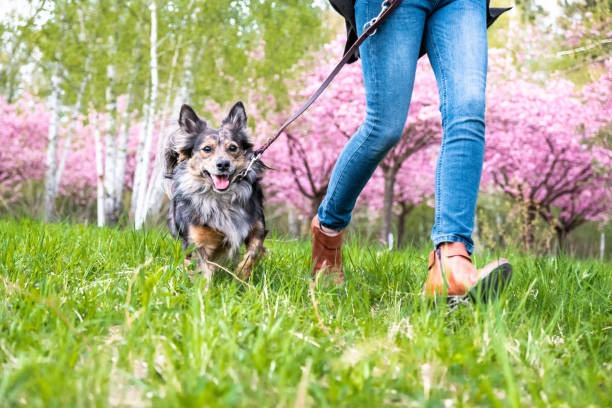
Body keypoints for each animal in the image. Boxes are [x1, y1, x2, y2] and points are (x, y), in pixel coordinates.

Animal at [164, 101, 266, 280]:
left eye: (233, 148)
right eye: (207, 149)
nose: (223, 164)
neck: (221, 198)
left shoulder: (257, 227)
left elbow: (253, 253)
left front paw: (241, 276)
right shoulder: (197, 242)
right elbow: (202, 270)